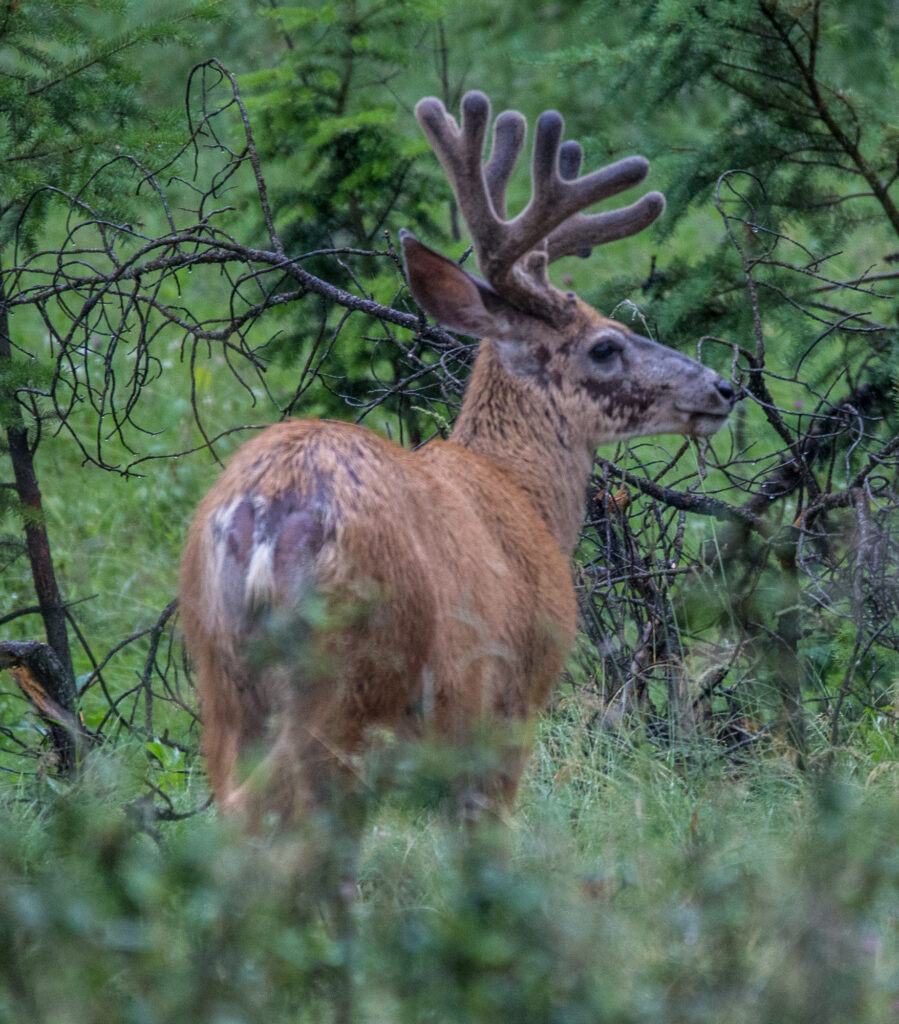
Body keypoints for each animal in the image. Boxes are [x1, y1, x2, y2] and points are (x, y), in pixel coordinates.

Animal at [179, 90, 737, 831]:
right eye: (605, 345)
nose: (723, 387)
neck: (524, 492)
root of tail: (270, 517)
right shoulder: (508, 699)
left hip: (219, 681)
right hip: (353, 682)